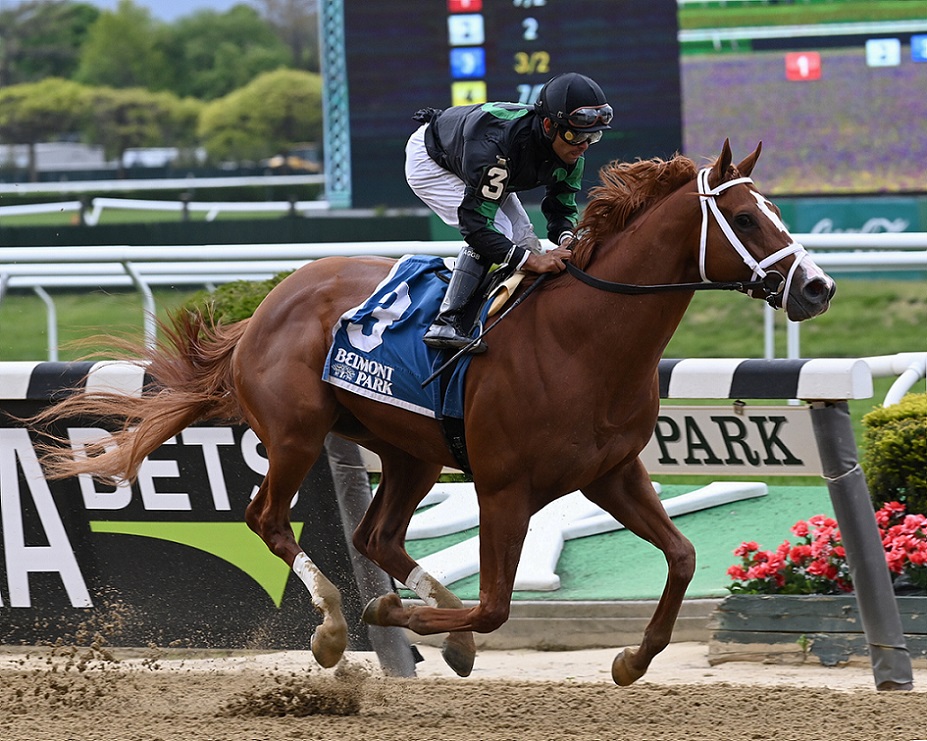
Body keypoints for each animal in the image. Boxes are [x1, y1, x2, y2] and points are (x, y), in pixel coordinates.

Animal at [32, 140, 835, 685]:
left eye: (773, 211)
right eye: (743, 216)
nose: (818, 288)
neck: (584, 339)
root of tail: (267, 304)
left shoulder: (611, 473)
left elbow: (683, 555)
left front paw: (632, 659)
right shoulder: (505, 488)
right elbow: (495, 606)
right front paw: (395, 620)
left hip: (410, 451)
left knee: (377, 535)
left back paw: (425, 624)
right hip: (295, 435)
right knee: (269, 519)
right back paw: (335, 625)